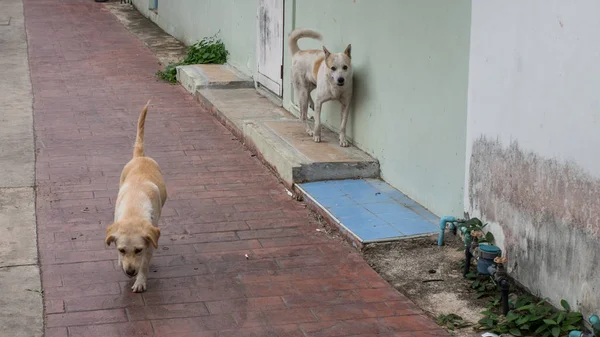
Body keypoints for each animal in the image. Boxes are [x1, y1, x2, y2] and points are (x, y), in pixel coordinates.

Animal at [105, 100, 166, 292]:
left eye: (138, 250)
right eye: (122, 250)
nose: (130, 272)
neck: (134, 207)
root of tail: (141, 156)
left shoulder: (151, 241)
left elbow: (145, 264)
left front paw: (140, 281)